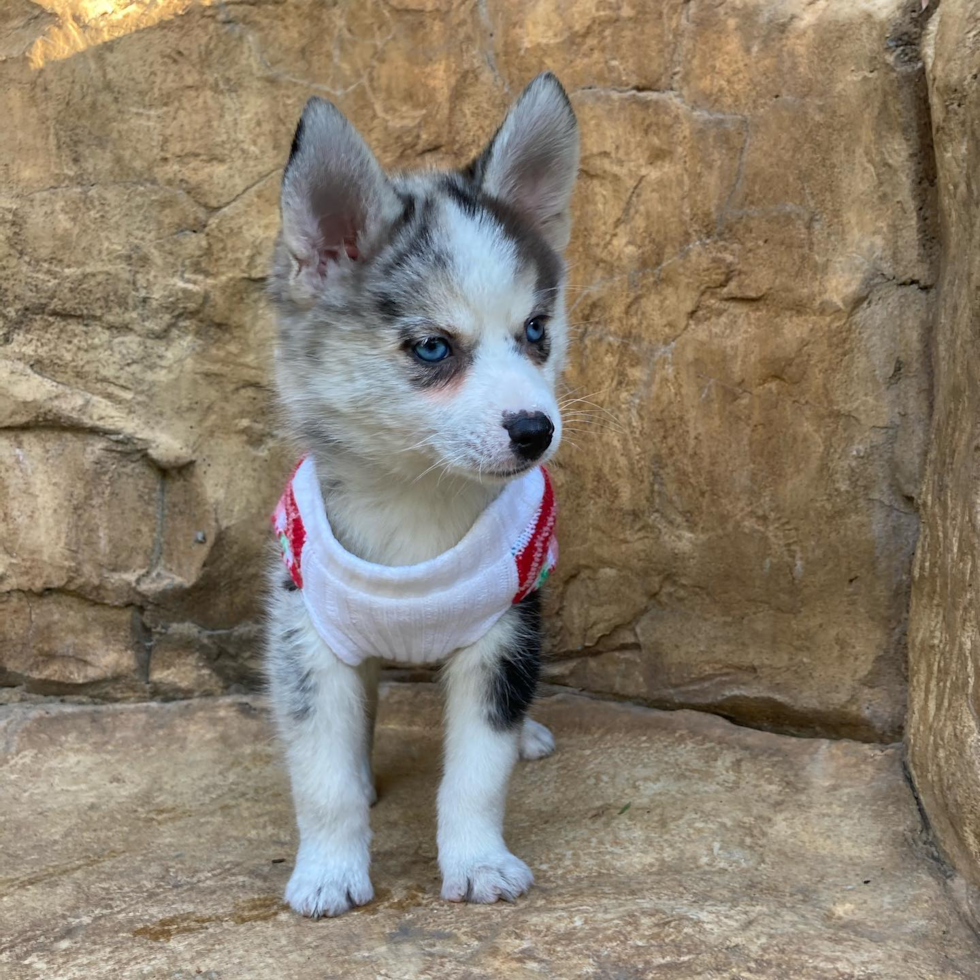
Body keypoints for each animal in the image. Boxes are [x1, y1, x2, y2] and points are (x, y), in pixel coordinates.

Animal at [264, 71, 580, 920]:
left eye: (536, 332)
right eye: (434, 348)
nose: (535, 430)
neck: (417, 496)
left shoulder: (505, 634)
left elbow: (476, 772)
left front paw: (478, 861)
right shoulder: (306, 637)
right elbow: (323, 778)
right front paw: (328, 870)